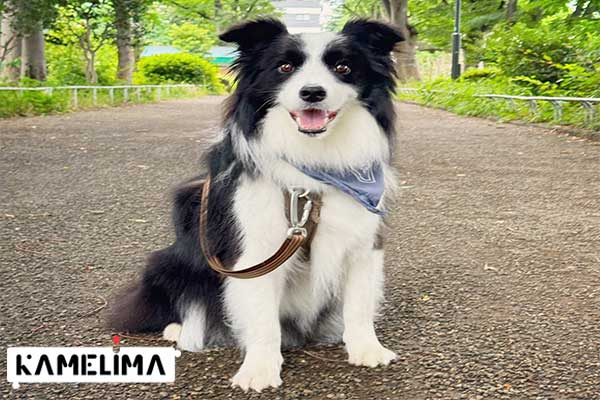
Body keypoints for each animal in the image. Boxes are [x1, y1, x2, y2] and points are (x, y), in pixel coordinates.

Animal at [110, 18, 406, 390]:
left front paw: (366, 348)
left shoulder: (363, 243)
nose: (312, 93)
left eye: (343, 68)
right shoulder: (257, 251)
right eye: (285, 67)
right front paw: (260, 368)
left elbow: (359, 304)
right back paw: (181, 330)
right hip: (169, 255)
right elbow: (263, 317)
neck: (313, 168)